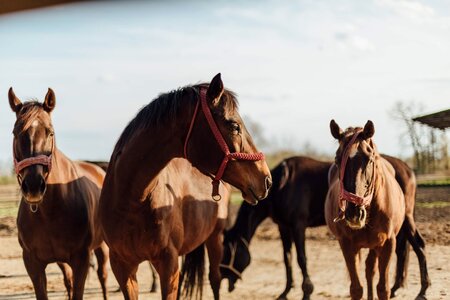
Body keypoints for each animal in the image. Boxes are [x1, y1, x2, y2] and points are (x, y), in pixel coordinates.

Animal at [8, 88, 109, 298]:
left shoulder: (81, 260)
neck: (51, 212)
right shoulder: (33, 263)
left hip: (102, 246)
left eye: (50, 132)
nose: (33, 186)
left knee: (103, 276)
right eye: (15, 133)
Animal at [99, 73, 272, 300]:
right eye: (234, 126)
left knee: (215, 279)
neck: (131, 200)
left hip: (215, 238)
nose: (266, 179)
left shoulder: (168, 266)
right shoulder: (122, 267)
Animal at [326, 120, 406, 300]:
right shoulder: (347, 245)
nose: (354, 214)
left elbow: (383, 289)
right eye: (337, 159)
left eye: (369, 160)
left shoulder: (387, 244)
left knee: (370, 270)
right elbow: (356, 289)